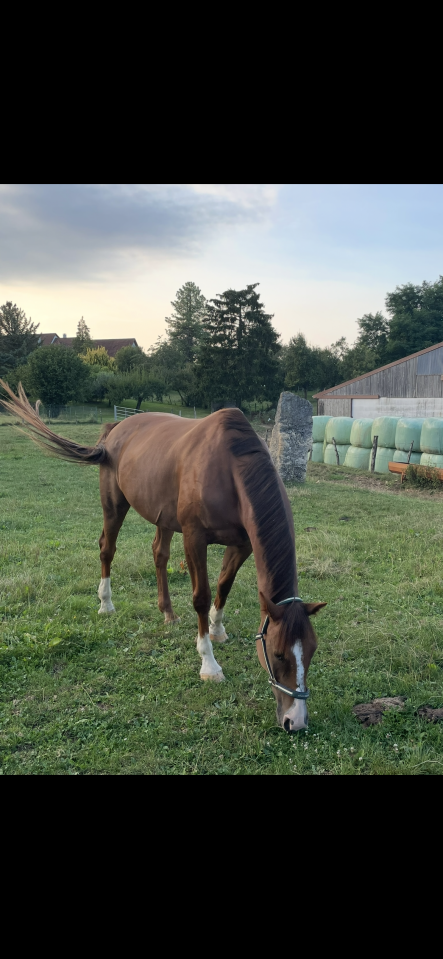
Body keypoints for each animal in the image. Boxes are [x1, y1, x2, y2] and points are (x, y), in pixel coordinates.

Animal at [0, 380, 326, 732]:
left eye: (311, 651)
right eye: (278, 654)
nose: (296, 721)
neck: (228, 469)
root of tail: (115, 430)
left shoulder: (242, 544)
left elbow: (223, 586)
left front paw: (217, 629)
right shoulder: (195, 539)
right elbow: (202, 596)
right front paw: (209, 664)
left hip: (164, 518)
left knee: (159, 554)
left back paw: (167, 612)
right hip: (114, 506)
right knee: (107, 549)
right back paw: (106, 603)